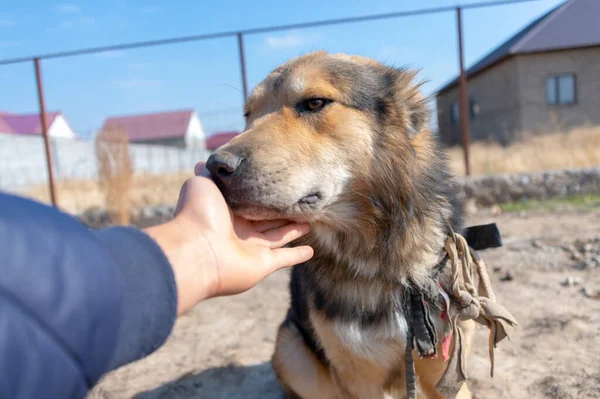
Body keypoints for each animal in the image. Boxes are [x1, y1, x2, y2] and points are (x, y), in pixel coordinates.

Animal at [206, 52, 478, 399]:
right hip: (290, 346)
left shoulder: (446, 369)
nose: (215, 166)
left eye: (314, 103)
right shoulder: (358, 374)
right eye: (248, 114)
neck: (382, 262)